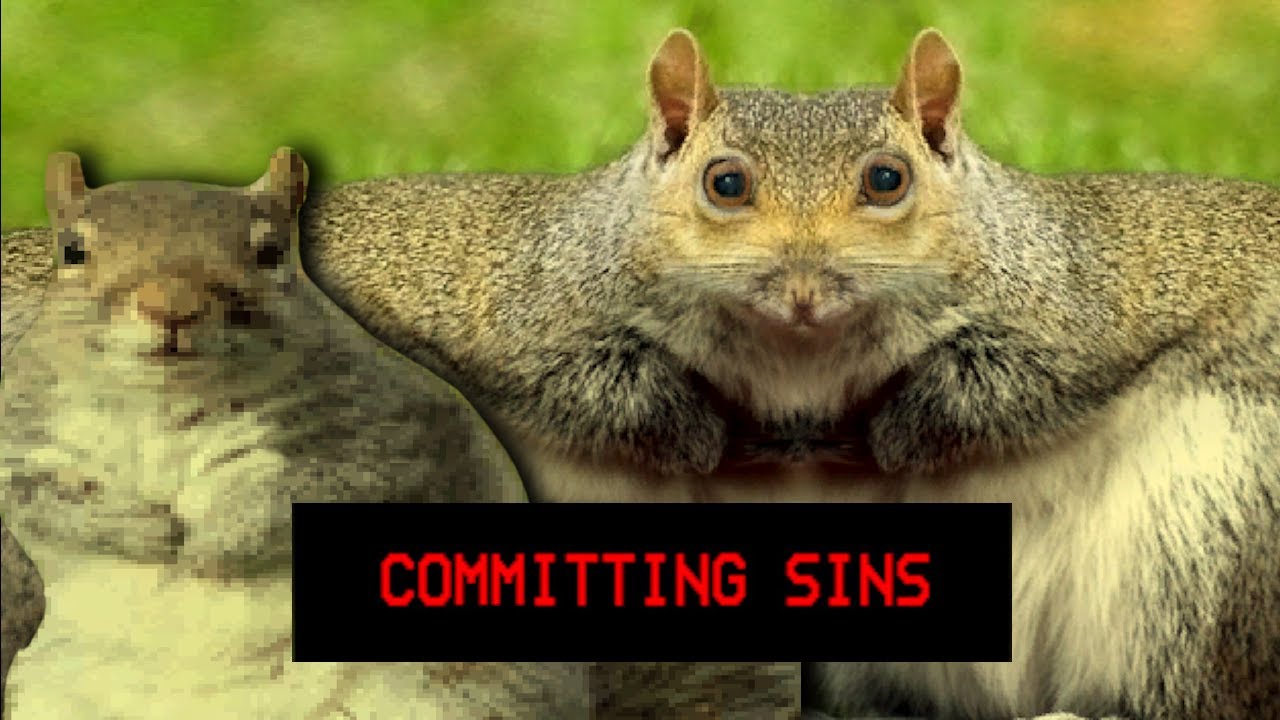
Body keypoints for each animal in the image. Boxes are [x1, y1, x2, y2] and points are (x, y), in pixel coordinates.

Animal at [0, 150, 592, 719]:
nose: (172, 307)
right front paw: (141, 531)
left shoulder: (384, 428)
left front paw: (213, 544)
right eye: (72, 250)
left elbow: (308, 490)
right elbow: (34, 499)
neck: (167, 400)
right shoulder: (21, 434)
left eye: (271, 253)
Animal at [298, 26, 1279, 720]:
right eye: (724, 183)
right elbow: (601, 392)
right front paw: (714, 437)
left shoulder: (1067, 307)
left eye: (888, 179)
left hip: (1205, 534)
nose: (804, 285)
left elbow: (1001, 389)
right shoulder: (532, 313)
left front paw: (876, 437)